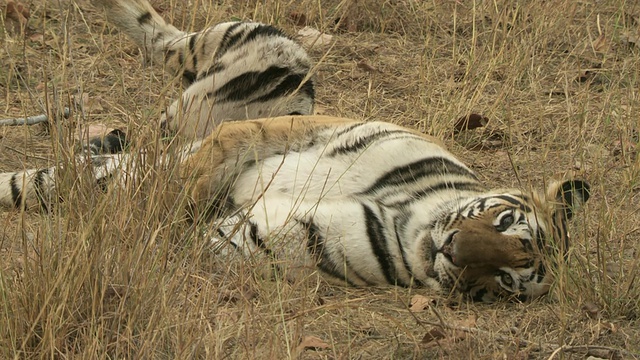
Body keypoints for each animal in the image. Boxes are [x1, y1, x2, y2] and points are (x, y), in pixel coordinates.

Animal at [0, 116, 592, 304]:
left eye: (505, 281)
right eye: (506, 222)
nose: (454, 250)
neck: (411, 222)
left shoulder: (279, 235)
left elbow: (205, 244)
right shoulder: (296, 130)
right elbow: (215, 153)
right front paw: (160, 208)